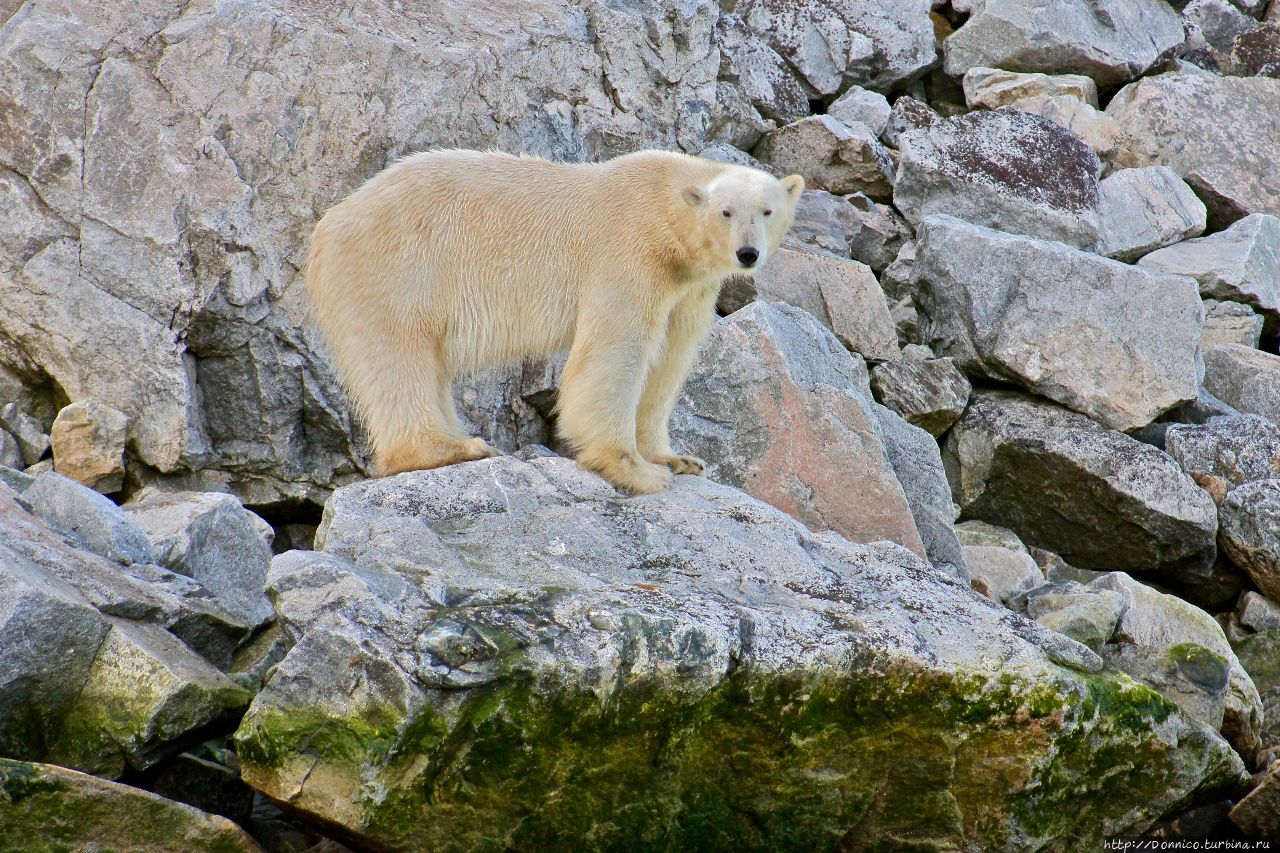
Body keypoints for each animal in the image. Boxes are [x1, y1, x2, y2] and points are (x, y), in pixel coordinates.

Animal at [303, 149, 798, 489]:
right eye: (726, 212)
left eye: (767, 210)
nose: (747, 253)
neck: (662, 207)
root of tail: (329, 223)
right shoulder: (628, 253)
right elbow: (616, 349)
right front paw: (634, 469)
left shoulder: (687, 287)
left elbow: (670, 359)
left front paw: (675, 459)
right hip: (396, 267)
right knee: (398, 354)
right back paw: (449, 447)